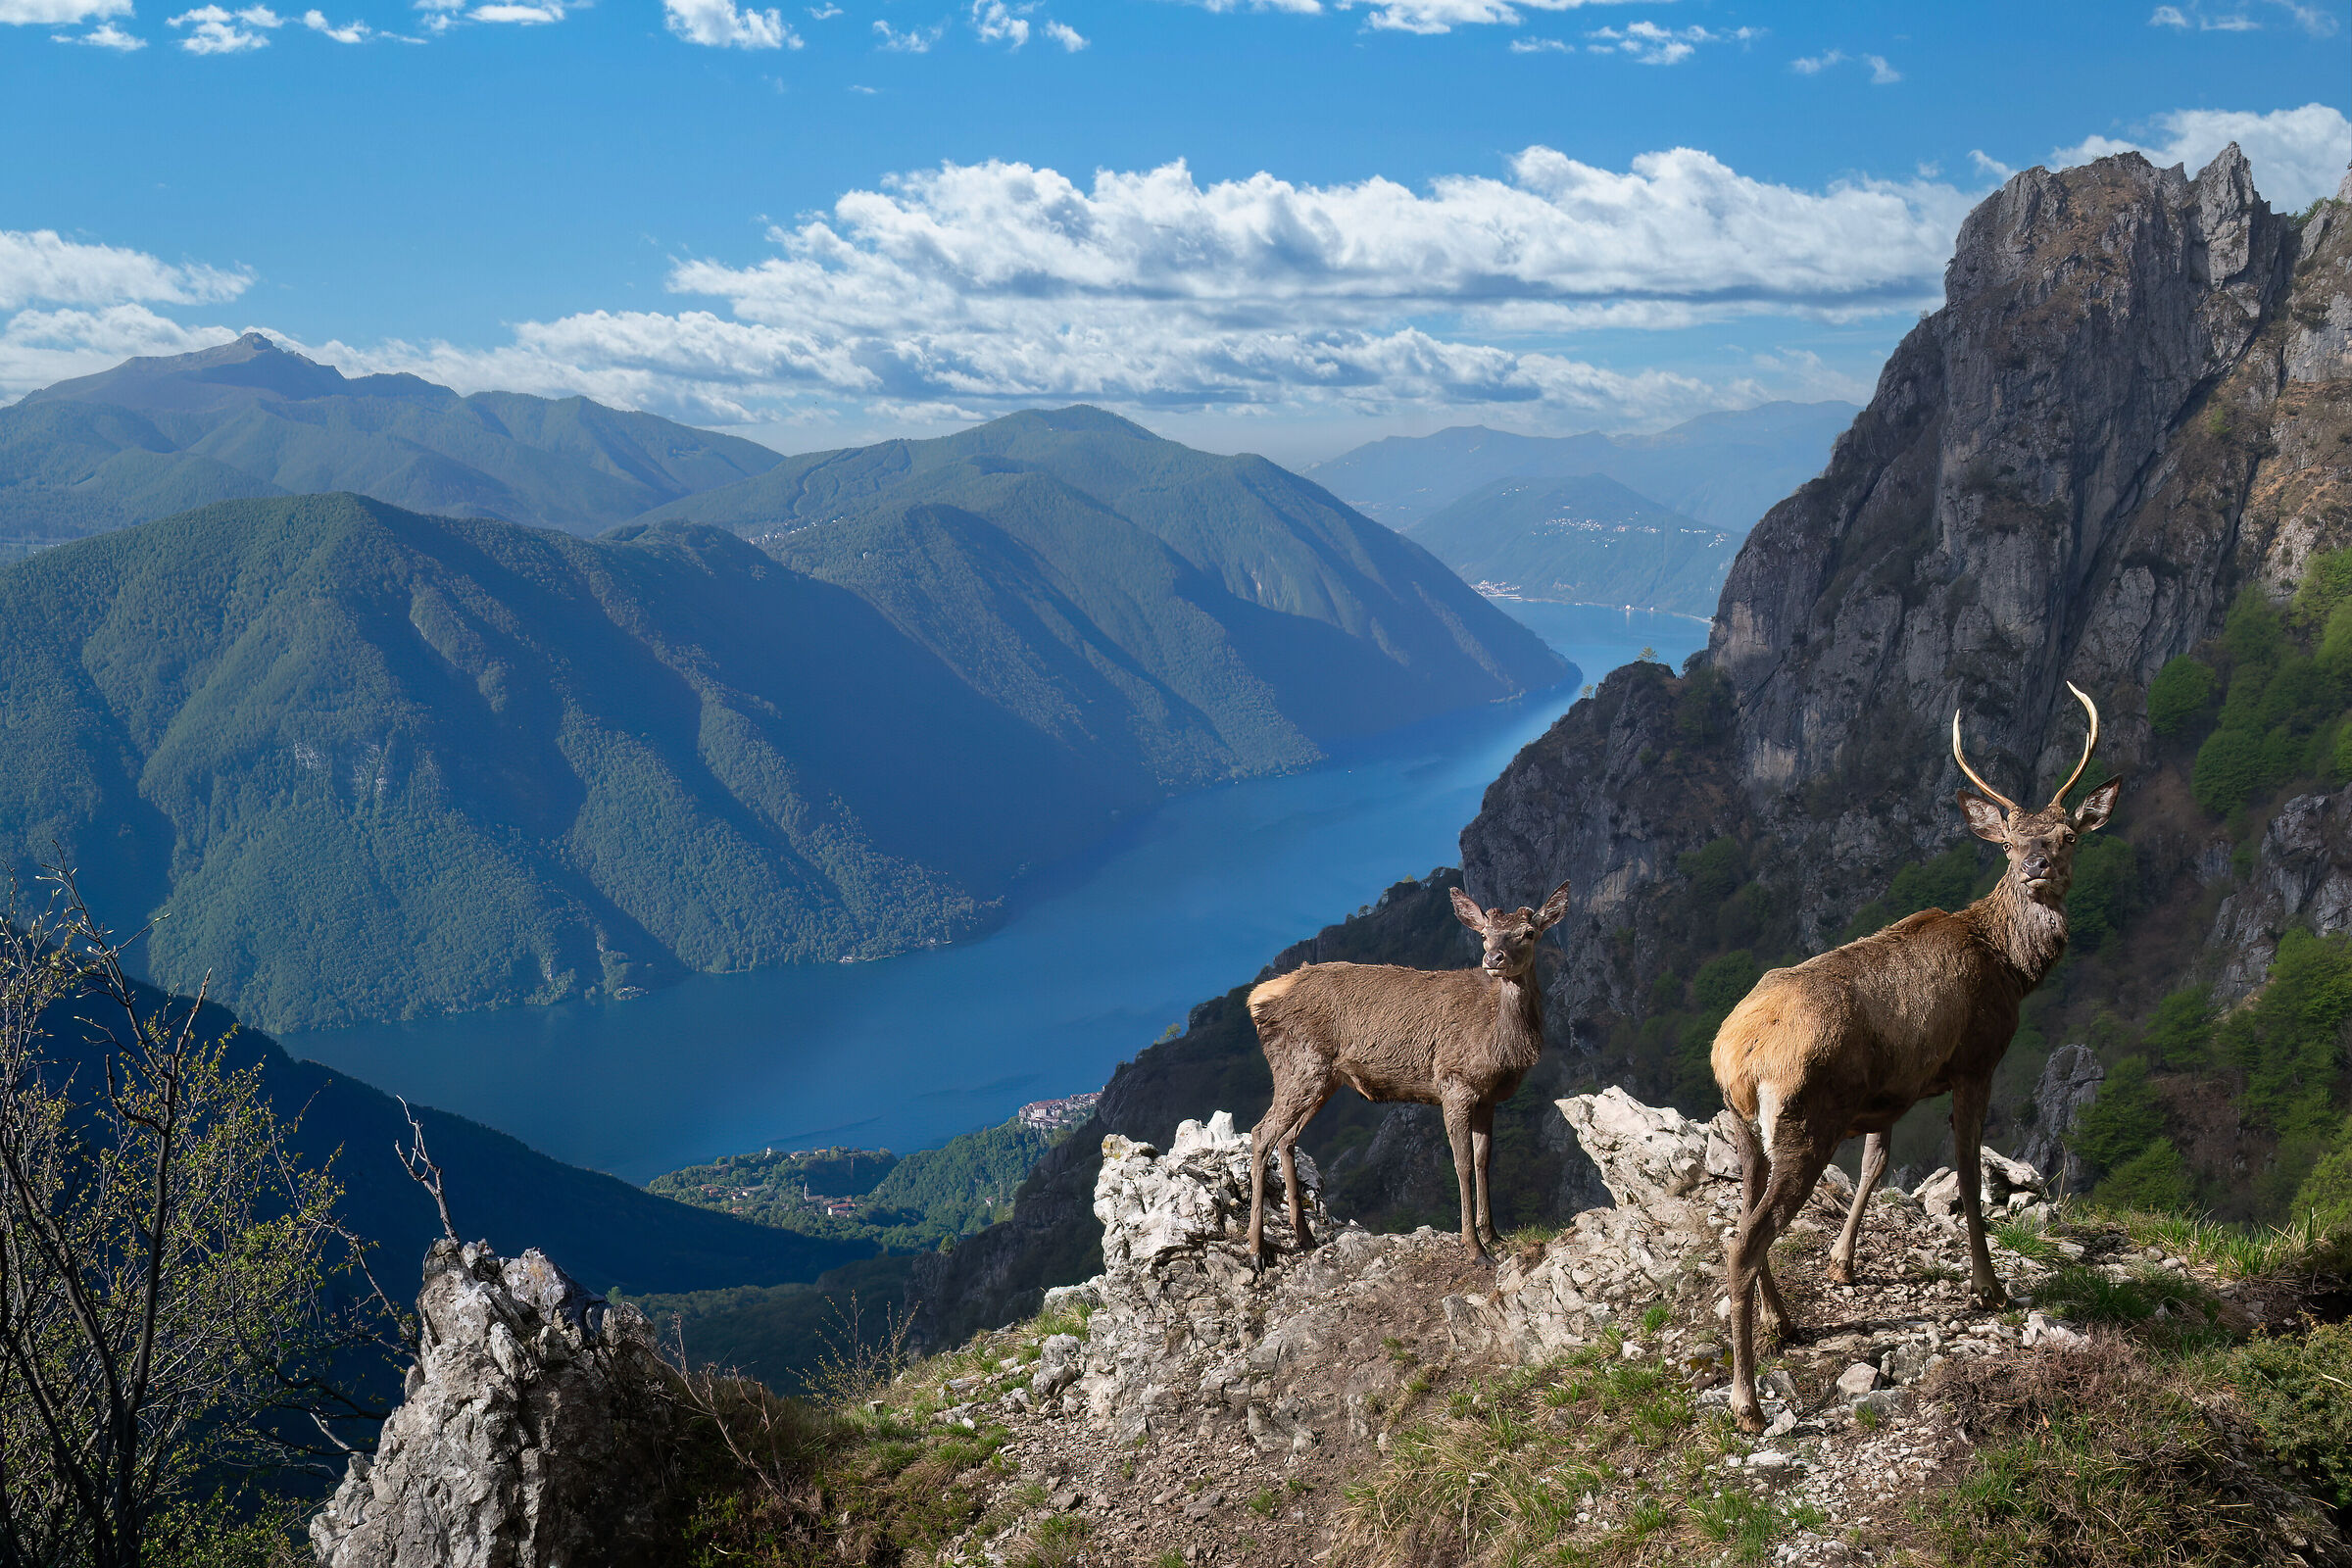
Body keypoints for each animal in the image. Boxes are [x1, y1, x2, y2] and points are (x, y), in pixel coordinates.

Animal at [1244, 880, 1573, 1268]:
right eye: (1484, 935)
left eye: (1528, 933)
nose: (1494, 959)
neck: (1499, 1041)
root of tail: (1257, 997)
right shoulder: (1454, 1082)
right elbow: (1462, 1163)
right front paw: (1475, 1247)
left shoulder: (1488, 1098)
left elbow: (1483, 1160)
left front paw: (1494, 1234)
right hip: (1298, 1067)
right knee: (1261, 1133)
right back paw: (1256, 1250)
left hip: (1323, 1079)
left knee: (1286, 1138)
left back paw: (1305, 1236)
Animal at [1710, 684, 2119, 1433]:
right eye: (2011, 841)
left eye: (2067, 835)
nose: (2037, 866)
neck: (2009, 967)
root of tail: (1738, 1057)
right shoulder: (1976, 1060)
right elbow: (1967, 1171)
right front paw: (1990, 1288)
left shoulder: (1890, 1092)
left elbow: (1877, 1165)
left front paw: (1843, 1263)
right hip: (1805, 1121)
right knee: (1745, 1242)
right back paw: (1747, 1402)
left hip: (1746, 1127)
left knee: (1741, 1223)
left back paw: (1786, 1324)